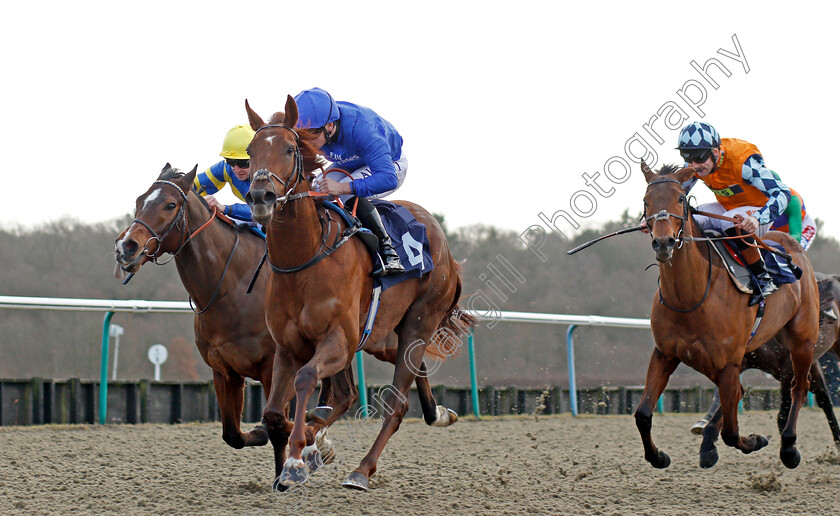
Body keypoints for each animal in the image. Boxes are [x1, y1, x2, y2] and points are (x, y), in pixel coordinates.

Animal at [244, 94, 480, 490]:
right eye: (250, 151)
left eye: (290, 148)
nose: (261, 195)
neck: (304, 259)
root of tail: (446, 248)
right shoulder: (288, 346)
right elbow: (275, 412)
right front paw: (307, 445)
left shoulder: (337, 339)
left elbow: (306, 379)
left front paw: (297, 459)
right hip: (381, 337)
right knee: (375, 381)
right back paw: (437, 413)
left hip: (418, 322)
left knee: (396, 403)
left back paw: (361, 470)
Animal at [640, 163, 816, 470]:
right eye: (646, 201)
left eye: (680, 199)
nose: (663, 243)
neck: (691, 297)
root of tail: (790, 243)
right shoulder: (665, 354)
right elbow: (643, 414)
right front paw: (659, 456)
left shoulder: (728, 364)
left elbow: (732, 433)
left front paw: (757, 440)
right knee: (743, 392)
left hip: (803, 339)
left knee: (799, 387)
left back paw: (789, 448)